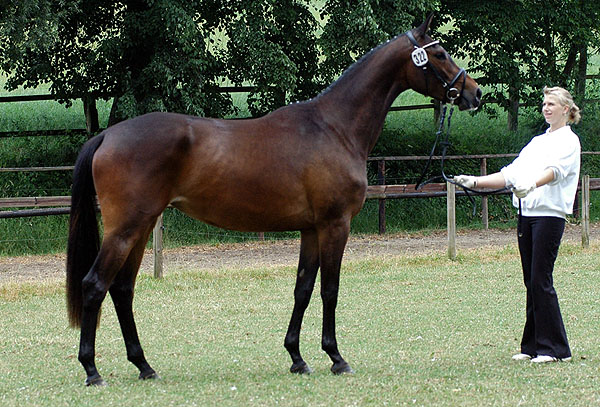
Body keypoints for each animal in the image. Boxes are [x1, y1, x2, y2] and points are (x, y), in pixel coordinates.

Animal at [65, 14, 480, 388]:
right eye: (440, 53)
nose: (474, 93)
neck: (334, 128)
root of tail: (107, 135)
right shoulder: (335, 224)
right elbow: (330, 290)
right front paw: (336, 357)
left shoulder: (311, 229)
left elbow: (303, 289)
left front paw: (297, 357)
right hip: (126, 228)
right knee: (95, 285)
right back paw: (92, 370)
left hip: (141, 226)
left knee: (122, 289)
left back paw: (144, 366)